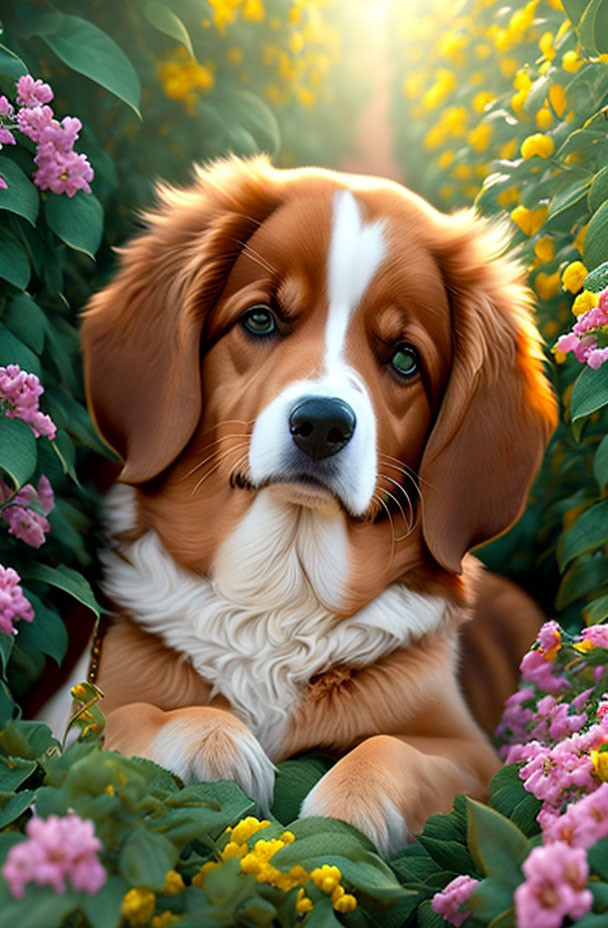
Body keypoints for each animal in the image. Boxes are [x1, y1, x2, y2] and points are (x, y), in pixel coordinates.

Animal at [78, 154, 560, 856]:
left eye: (405, 359)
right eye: (260, 320)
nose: (323, 425)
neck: (282, 595)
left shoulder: (470, 750)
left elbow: (393, 750)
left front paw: (346, 811)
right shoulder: (85, 706)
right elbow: (135, 714)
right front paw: (209, 738)